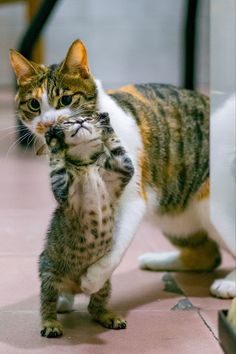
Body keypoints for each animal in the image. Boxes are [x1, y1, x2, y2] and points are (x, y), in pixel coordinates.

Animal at [10, 38, 235, 302]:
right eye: (34, 104)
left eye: (65, 100)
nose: (47, 124)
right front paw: (63, 293)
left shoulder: (133, 198)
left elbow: (116, 245)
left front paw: (93, 279)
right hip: (175, 212)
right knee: (208, 255)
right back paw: (157, 260)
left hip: (214, 205)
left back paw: (228, 284)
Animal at [39, 112, 134, 338]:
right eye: (68, 121)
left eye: (86, 118)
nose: (80, 121)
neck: (87, 166)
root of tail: (75, 288)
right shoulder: (62, 189)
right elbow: (56, 164)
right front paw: (54, 140)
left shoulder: (122, 168)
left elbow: (118, 147)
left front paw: (105, 123)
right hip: (49, 278)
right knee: (47, 304)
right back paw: (50, 324)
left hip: (103, 283)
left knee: (94, 307)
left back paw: (108, 316)